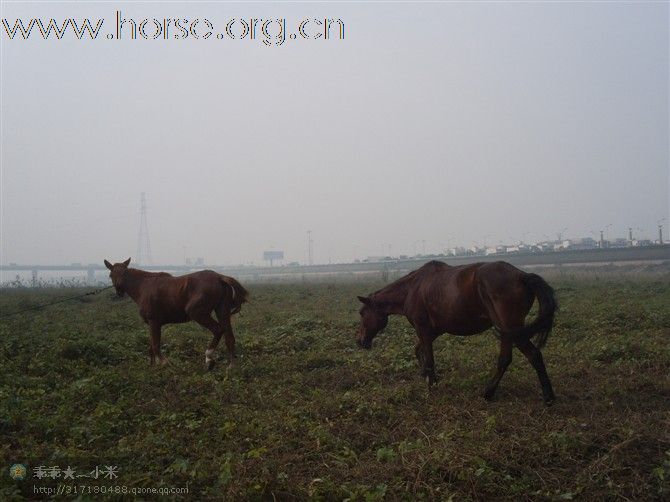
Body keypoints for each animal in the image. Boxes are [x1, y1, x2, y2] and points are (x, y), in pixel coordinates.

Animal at [106, 258, 248, 368]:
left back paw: (209, 358)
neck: (143, 287)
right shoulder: (152, 324)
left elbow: (155, 346)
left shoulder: (154, 322)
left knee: (218, 330)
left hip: (197, 313)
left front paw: (164, 362)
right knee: (229, 336)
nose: (119, 290)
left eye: (124, 273)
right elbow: (151, 347)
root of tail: (220, 277)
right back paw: (231, 366)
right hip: (222, 311)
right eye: (111, 275)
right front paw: (152, 368)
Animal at [360, 260, 560, 402]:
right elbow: (419, 351)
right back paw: (492, 393)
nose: (360, 341)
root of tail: (522, 275)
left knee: (532, 355)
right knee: (508, 359)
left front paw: (431, 385)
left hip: (512, 329)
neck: (412, 289)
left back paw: (546, 397)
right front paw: (425, 375)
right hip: (509, 332)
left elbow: (429, 358)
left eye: (362, 313)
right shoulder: (435, 331)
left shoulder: (423, 329)